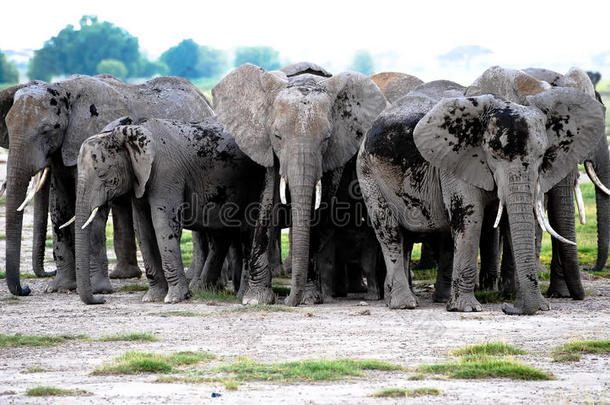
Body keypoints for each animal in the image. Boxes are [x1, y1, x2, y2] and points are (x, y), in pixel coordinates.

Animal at [4, 74, 214, 296]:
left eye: (48, 130)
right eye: (6, 125)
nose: (26, 289)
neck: (63, 88)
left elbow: (94, 212)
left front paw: (98, 290)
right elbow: (60, 207)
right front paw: (59, 288)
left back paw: (192, 280)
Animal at [72, 117, 266, 304]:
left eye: (102, 175)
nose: (102, 298)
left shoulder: (167, 174)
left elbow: (162, 225)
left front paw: (175, 298)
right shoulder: (140, 181)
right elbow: (143, 229)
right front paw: (152, 298)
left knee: (247, 232)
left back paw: (241, 296)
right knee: (223, 235)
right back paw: (207, 290)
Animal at [213, 62, 384, 306]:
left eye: (326, 138)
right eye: (277, 136)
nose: (286, 301)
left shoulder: (337, 149)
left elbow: (318, 210)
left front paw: (309, 298)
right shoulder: (268, 148)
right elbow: (268, 203)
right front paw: (256, 299)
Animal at [356, 71, 604, 314]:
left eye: (542, 154)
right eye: (493, 154)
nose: (508, 308)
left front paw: (535, 305)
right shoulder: (454, 160)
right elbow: (469, 216)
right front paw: (467, 308)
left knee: (414, 238)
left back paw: (405, 299)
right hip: (368, 174)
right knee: (389, 231)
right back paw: (404, 304)